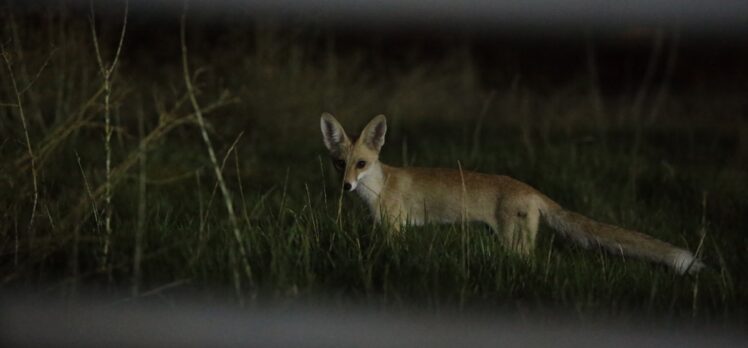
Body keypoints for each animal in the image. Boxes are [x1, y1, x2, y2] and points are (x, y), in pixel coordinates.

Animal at [322, 112, 708, 274]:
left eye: (361, 164)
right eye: (340, 163)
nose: (346, 186)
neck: (379, 186)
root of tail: (531, 188)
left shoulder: (394, 226)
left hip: (513, 243)